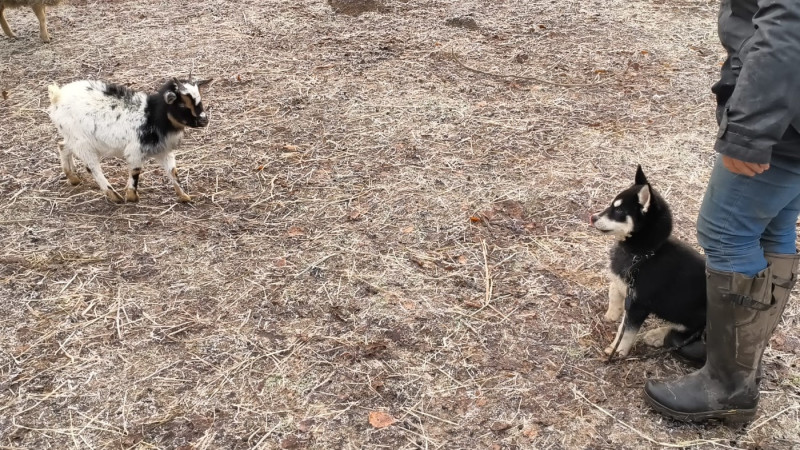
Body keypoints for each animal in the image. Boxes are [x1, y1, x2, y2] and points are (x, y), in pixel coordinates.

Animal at [48, 78, 212, 203]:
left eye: (199, 101)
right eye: (182, 104)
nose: (204, 120)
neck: (152, 116)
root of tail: (57, 96)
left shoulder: (163, 150)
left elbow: (172, 171)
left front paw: (184, 196)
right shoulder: (135, 150)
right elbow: (135, 170)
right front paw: (132, 196)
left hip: (73, 138)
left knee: (62, 146)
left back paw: (72, 177)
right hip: (83, 143)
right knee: (92, 167)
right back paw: (114, 195)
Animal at [590, 165, 706, 357]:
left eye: (620, 211)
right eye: (612, 205)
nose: (592, 217)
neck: (644, 255)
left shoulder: (638, 306)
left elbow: (627, 331)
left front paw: (617, 351)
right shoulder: (625, 285)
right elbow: (614, 289)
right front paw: (613, 313)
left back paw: (656, 336)